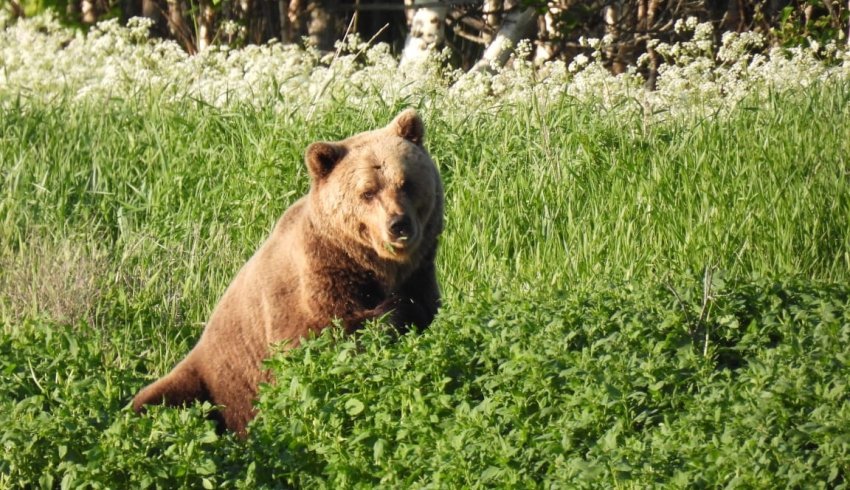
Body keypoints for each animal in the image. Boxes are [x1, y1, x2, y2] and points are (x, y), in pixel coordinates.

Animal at [132, 109, 444, 434]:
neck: (368, 264)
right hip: (210, 381)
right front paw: (391, 314)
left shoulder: (418, 275)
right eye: (367, 192)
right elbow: (321, 346)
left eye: (406, 182)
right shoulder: (308, 290)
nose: (398, 224)